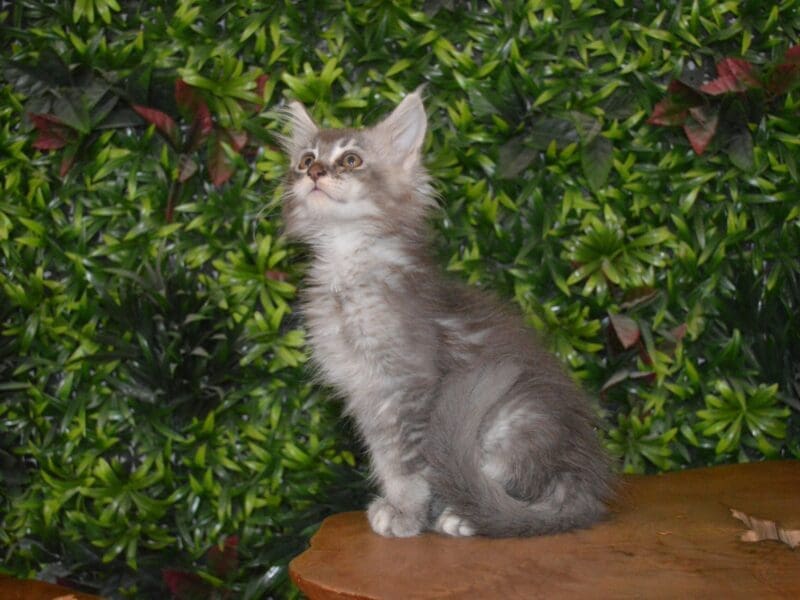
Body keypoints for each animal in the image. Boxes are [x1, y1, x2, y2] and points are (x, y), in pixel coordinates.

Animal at [280, 89, 612, 540]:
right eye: (305, 159)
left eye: (351, 160)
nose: (314, 172)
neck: (347, 269)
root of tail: (590, 487)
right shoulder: (367, 396)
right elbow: (387, 460)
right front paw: (399, 507)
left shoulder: (409, 389)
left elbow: (411, 468)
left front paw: (408, 513)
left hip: (514, 418)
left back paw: (465, 515)